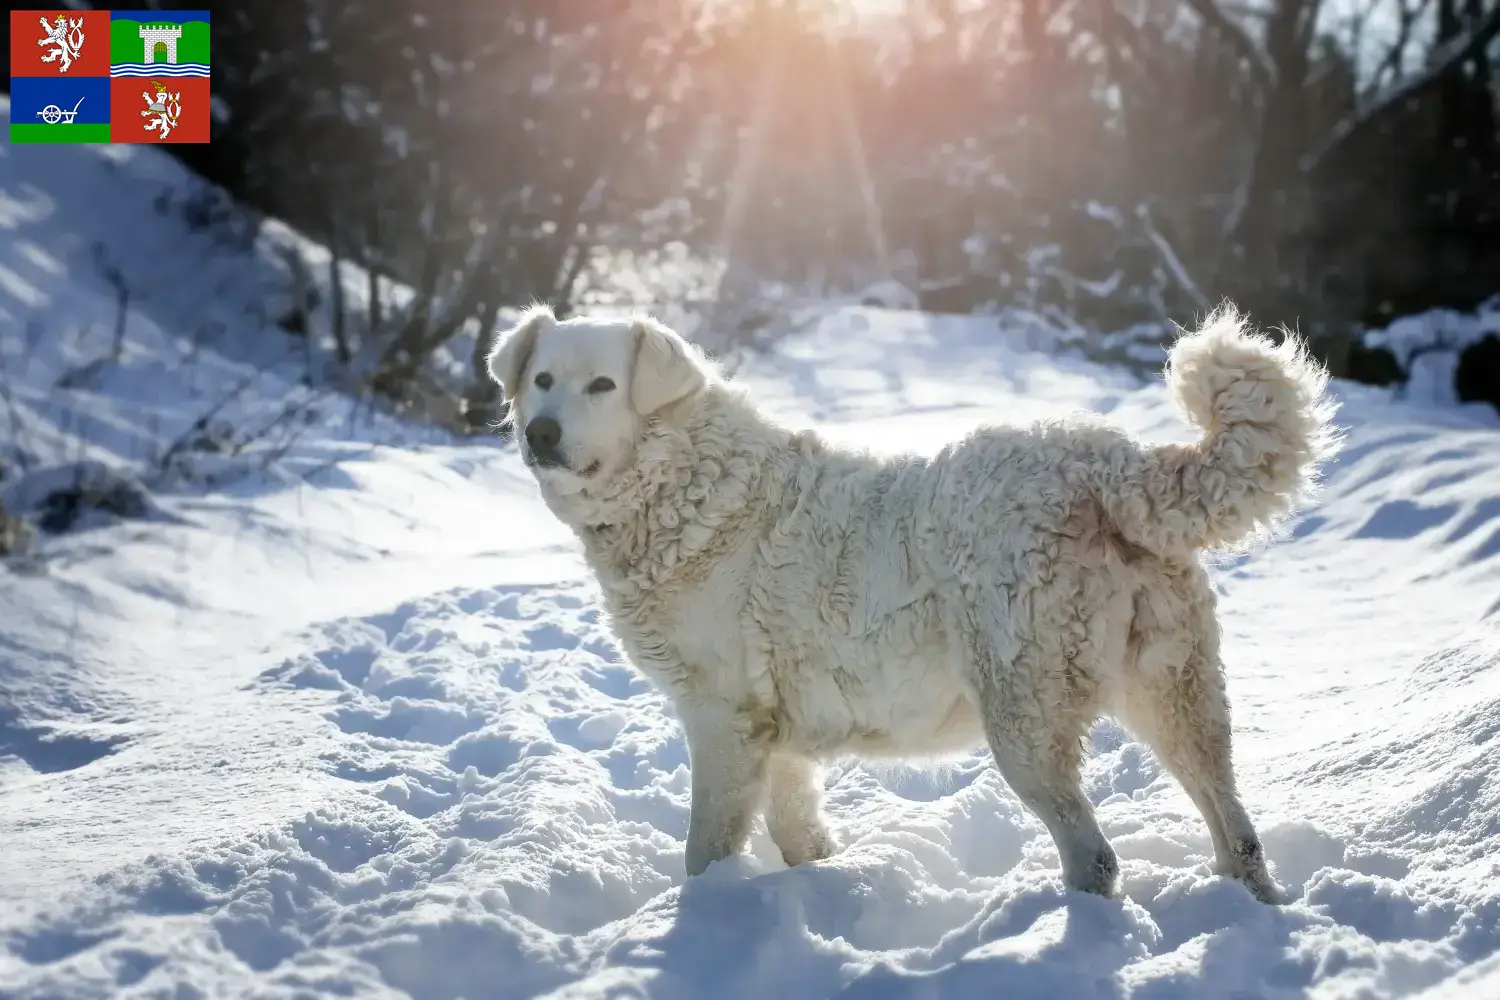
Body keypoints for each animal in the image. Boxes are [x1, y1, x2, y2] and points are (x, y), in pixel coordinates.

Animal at [486, 301, 1344, 905]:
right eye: (542, 380)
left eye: (603, 385)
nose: (542, 432)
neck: (683, 482)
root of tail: (1104, 459)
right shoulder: (778, 734)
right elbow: (797, 828)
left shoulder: (720, 720)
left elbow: (706, 848)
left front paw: (705, 922)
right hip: (1176, 692)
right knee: (1235, 829)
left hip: (1024, 720)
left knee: (1096, 856)